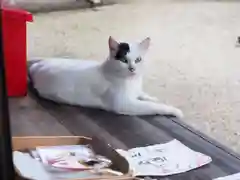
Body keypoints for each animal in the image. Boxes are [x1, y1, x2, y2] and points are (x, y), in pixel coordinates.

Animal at [28, 36, 183, 118]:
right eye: (124, 60)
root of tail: (38, 65)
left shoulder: (136, 92)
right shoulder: (124, 104)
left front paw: (152, 97)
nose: (132, 69)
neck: (132, 81)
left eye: (138, 59)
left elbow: (144, 96)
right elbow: (152, 106)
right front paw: (174, 111)